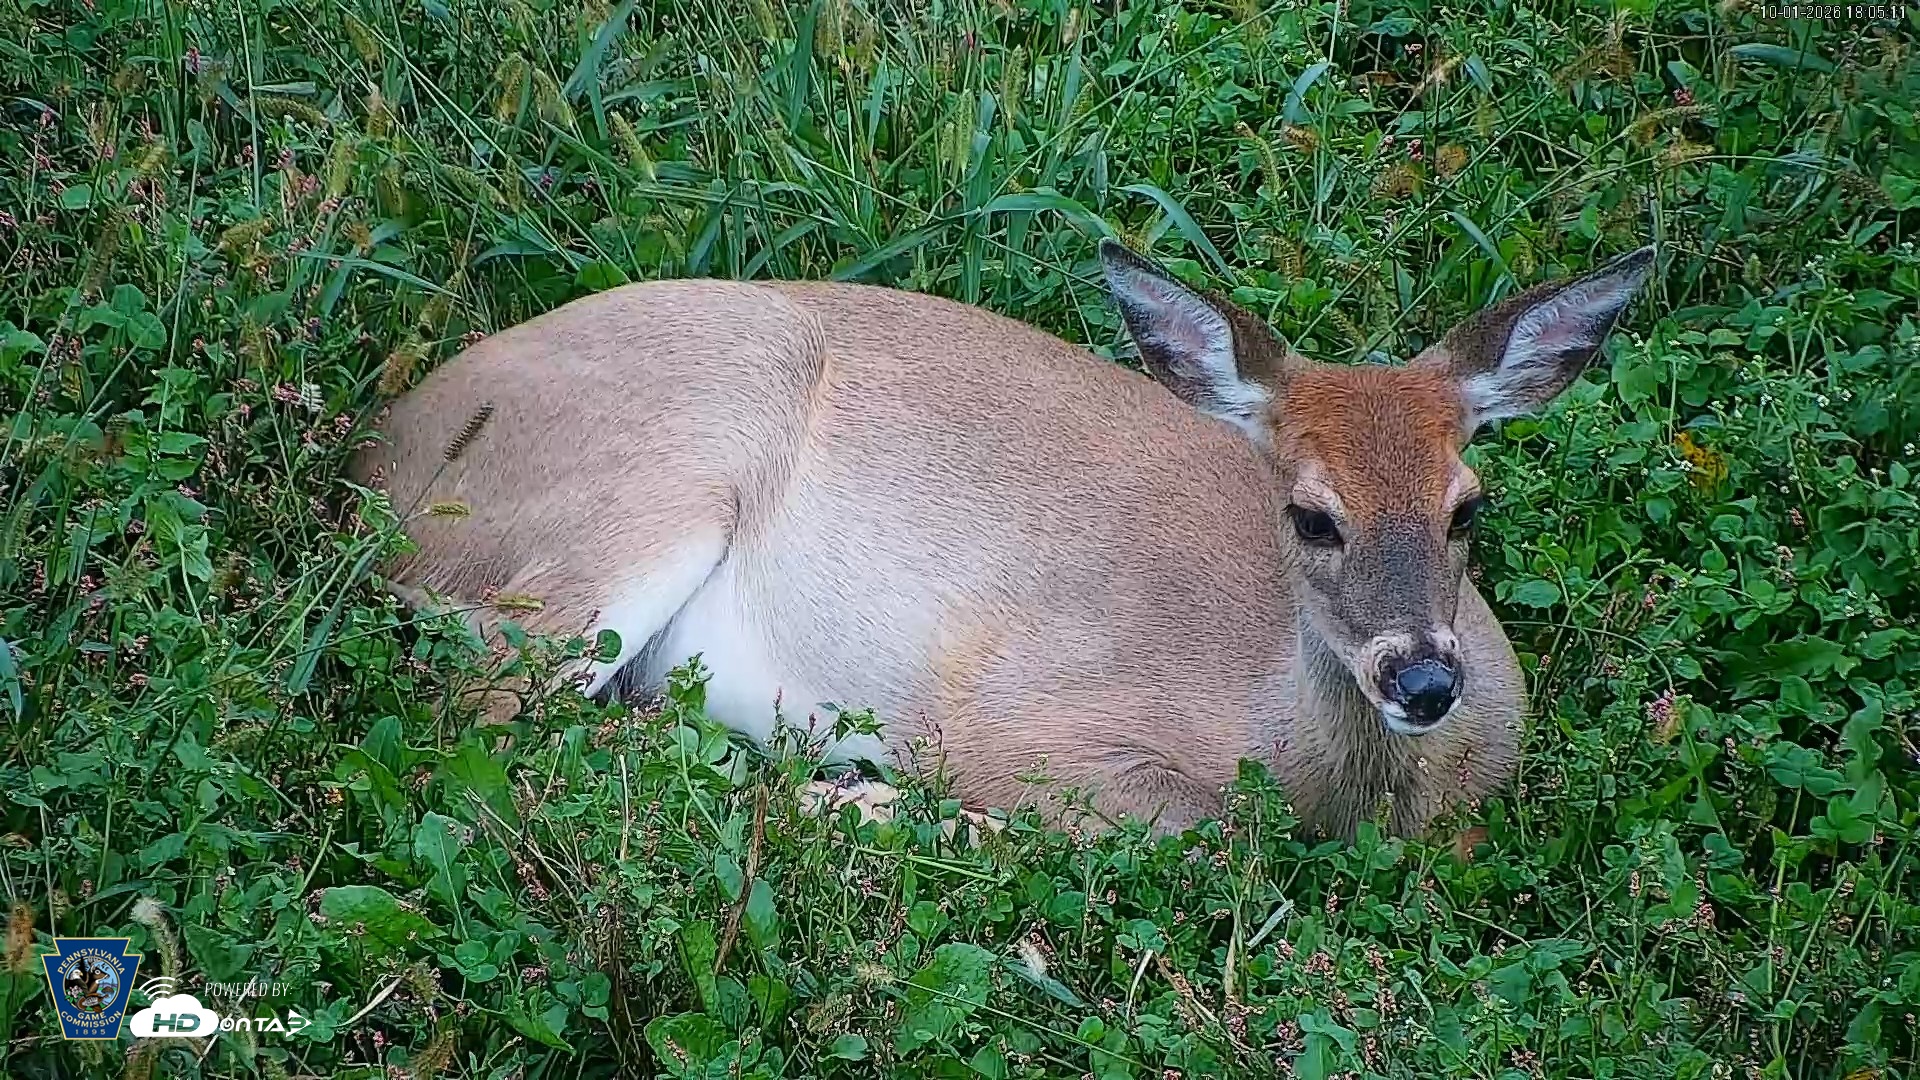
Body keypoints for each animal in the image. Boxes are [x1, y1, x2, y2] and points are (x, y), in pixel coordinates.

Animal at [348, 240, 1655, 840]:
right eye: (1310, 513)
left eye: (1468, 504)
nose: (1425, 679)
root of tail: (378, 455)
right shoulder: (1016, 718)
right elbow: (1183, 833)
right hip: (646, 488)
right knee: (498, 722)